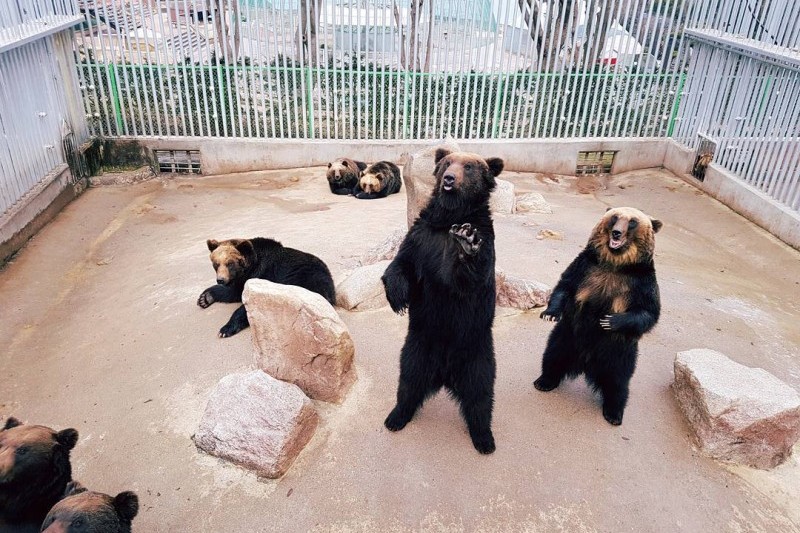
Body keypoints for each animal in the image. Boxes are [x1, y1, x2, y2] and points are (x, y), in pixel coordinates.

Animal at [197, 237, 336, 338]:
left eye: (230, 264)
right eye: (216, 264)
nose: (221, 279)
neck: (251, 266)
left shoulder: (265, 273)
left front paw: (225, 329)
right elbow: (233, 292)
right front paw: (204, 298)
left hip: (304, 278)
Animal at [381, 149, 503, 454]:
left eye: (469, 167)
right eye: (447, 163)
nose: (449, 178)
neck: (450, 216)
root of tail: (445, 374)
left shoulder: (484, 240)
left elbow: (465, 278)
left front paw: (467, 242)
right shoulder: (422, 235)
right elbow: (402, 262)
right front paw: (397, 297)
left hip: (477, 352)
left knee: (480, 395)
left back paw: (484, 438)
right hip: (416, 347)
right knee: (408, 382)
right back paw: (396, 416)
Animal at [534, 206, 662, 426]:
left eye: (633, 222)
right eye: (615, 217)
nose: (616, 233)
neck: (615, 263)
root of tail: (586, 363)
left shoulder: (641, 281)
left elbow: (648, 312)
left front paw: (610, 320)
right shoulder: (585, 267)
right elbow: (565, 286)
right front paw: (550, 314)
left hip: (618, 352)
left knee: (618, 382)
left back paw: (614, 413)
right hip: (567, 337)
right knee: (553, 356)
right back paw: (544, 381)